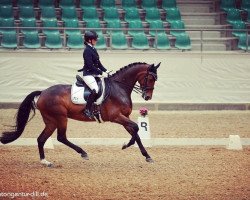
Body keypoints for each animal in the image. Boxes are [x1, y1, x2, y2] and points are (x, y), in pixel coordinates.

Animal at [0, 61, 160, 166]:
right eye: (150, 78)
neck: (119, 88)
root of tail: (43, 92)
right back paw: (83, 153)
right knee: (61, 137)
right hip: (60, 118)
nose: (147, 97)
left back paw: (45, 161)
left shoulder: (124, 117)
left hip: (51, 120)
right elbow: (137, 129)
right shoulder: (116, 117)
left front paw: (147, 156)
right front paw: (126, 145)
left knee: (41, 139)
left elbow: (136, 132)